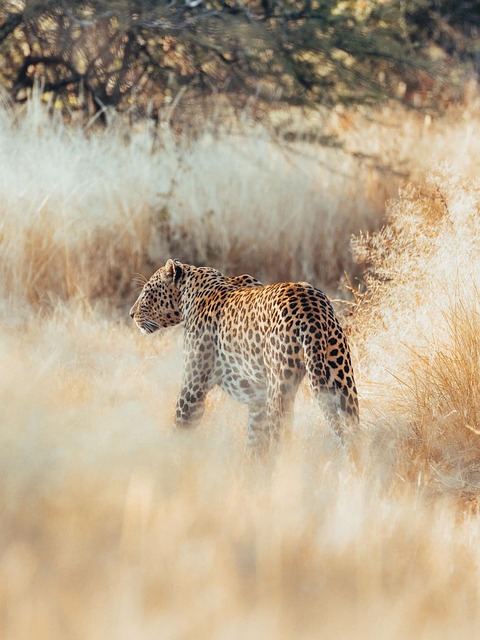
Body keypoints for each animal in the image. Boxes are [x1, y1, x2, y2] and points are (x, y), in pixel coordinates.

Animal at [129, 260, 358, 456]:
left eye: (146, 292)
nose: (131, 314)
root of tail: (309, 306)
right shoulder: (257, 400)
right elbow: (254, 441)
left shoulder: (193, 388)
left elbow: (180, 429)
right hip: (342, 380)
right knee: (354, 432)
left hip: (279, 390)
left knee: (282, 440)